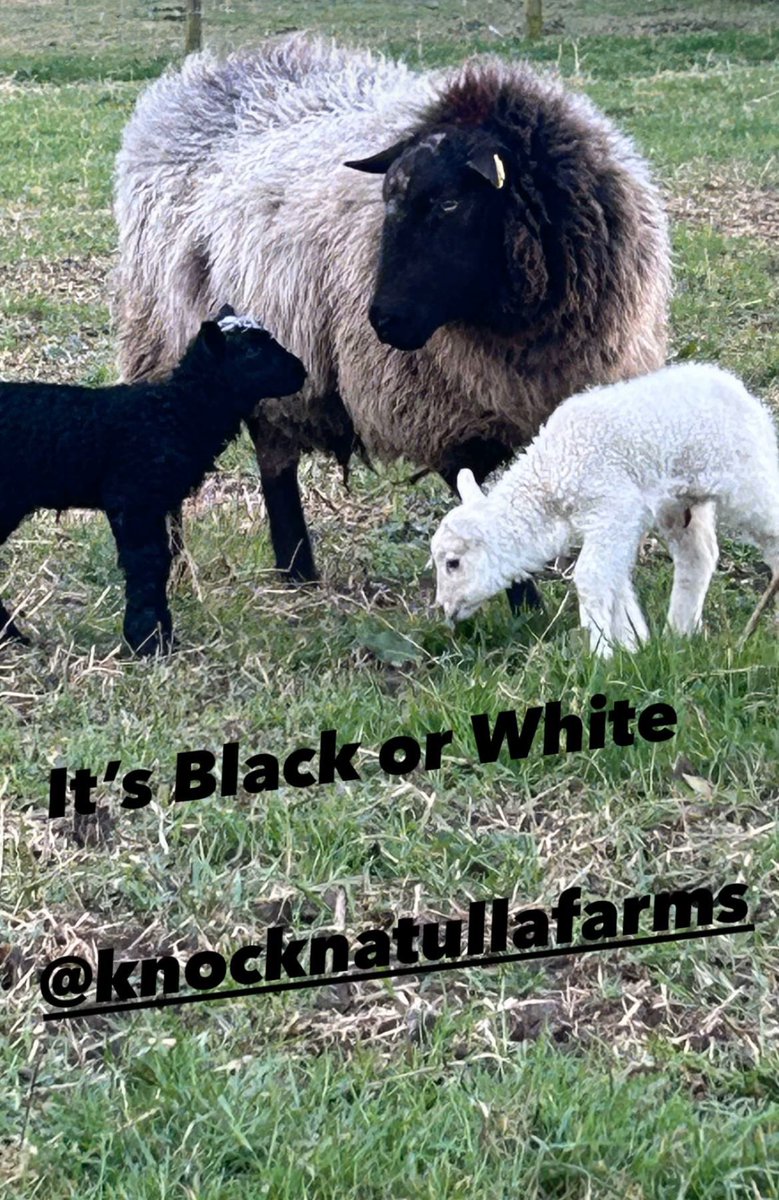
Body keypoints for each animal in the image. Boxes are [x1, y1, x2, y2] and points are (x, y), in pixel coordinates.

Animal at [0, 310, 306, 655]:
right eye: (251, 351)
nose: (300, 371)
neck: (176, 412)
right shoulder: (134, 498)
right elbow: (148, 563)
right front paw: (148, 641)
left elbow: (159, 562)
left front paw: (161, 637)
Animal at [112, 34, 671, 612]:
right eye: (386, 202)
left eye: (449, 202)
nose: (383, 319)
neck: (520, 326)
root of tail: (205, 72)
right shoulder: (442, 415)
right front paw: (528, 610)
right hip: (163, 337)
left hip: (270, 373)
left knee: (274, 456)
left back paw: (298, 574)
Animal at [430, 363, 779, 657]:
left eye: (453, 563)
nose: (444, 608)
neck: (549, 478)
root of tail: (741, 391)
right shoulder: (613, 520)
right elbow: (614, 580)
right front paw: (632, 644)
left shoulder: (613, 505)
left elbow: (591, 576)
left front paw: (601, 654)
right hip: (680, 501)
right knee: (698, 556)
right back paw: (679, 634)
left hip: (746, 476)